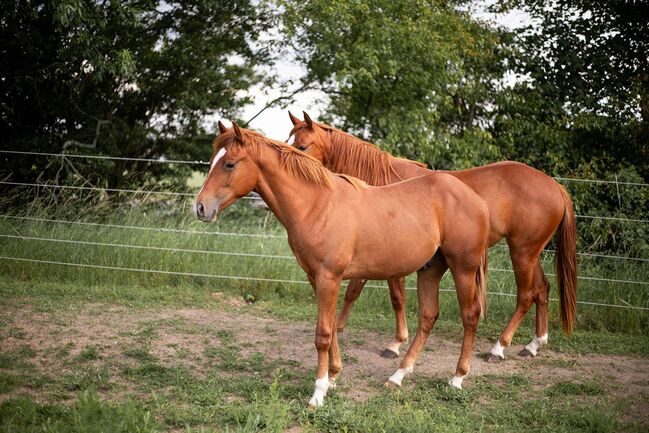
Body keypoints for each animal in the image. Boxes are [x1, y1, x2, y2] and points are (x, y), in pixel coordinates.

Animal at [195, 121, 488, 404]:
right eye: (211, 160)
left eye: (230, 163)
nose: (200, 208)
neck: (317, 205)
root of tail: (475, 197)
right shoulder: (316, 279)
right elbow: (333, 327)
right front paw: (334, 376)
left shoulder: (329, 278)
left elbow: (323, 333)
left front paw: (318, 393)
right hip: (431, 268)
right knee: (428, 316)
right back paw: (398, 376)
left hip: (463, 268)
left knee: (470, 315)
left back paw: (457, 377)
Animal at [288, 110, 576, 362]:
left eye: (302, 146)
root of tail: (554, 186)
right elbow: (367, 293)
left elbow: (382, 295)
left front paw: (391, 343)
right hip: (530, 252)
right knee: (542, 289)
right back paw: (534, 344)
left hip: (521, 252)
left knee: (526, 295)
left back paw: (499, 347)